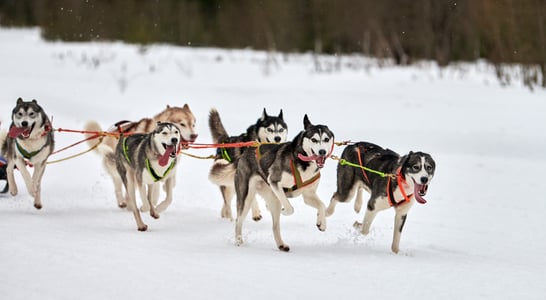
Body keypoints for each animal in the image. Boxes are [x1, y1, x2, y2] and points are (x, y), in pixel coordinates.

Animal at [233, 115, 332, 251]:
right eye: (314, 139)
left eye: (326, 139)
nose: (322, 151)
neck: (302, 161)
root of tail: (246, 152)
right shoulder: (274, 181)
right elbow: (290, 209)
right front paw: (284, 211)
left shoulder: (308, 194)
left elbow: (322, 205)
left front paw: (321, 222)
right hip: (247, 196)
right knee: (238, 220)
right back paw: (238, 241)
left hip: (272, 198)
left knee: (275, 226)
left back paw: (281, 244)